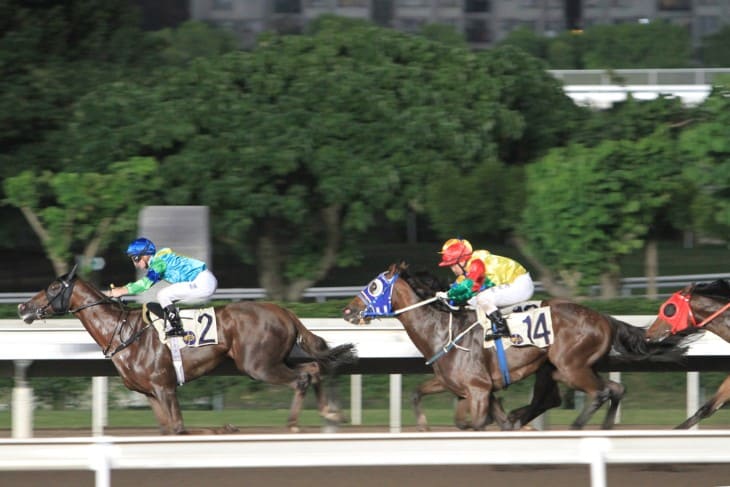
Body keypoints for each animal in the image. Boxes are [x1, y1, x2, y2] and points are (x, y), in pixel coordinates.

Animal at [15, 266, 356, 434]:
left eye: (54, 287)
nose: (22, 307)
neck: (123, 331)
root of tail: (284, 311)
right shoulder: (151, 394)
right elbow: (169, 430)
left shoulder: (165, 387)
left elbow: (180, 428)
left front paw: (225, 428)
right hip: (277, 359)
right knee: (313, 368)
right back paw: (329, 412)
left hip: (258, 365)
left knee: (301, 379)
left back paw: (294, 424)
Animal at [342, 264, 684, 430]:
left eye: (373, 285)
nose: (347, 310)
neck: (442, 330)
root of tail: (605, 318)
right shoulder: (461, 386)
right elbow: (420, 395)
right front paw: (424, 428)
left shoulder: (478, 390)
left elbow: (479, 423)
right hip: (564, 369)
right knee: (613, 389)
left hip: (569, 366)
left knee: (600, 392)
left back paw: (577, 426)